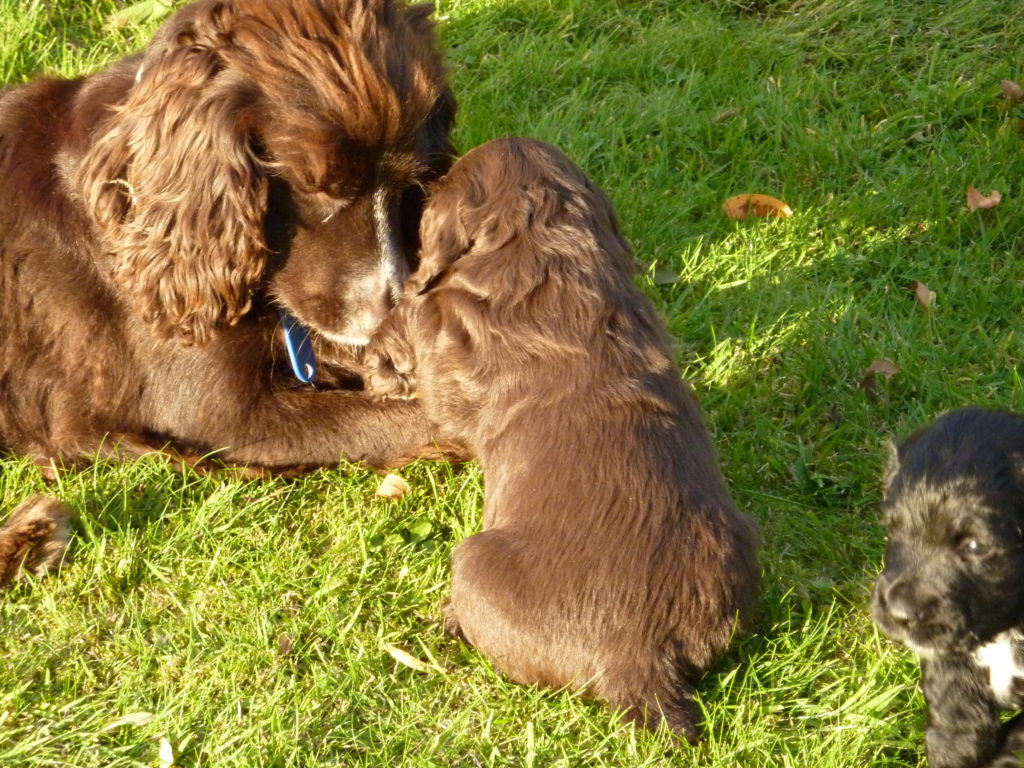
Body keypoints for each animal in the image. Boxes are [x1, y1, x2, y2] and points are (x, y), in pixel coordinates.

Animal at [360, 137, 761, 741]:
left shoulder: (445, 344)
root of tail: (638, 660)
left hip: (473, 563)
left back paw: (451, 619)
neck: (547, 253)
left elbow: (420, 333)